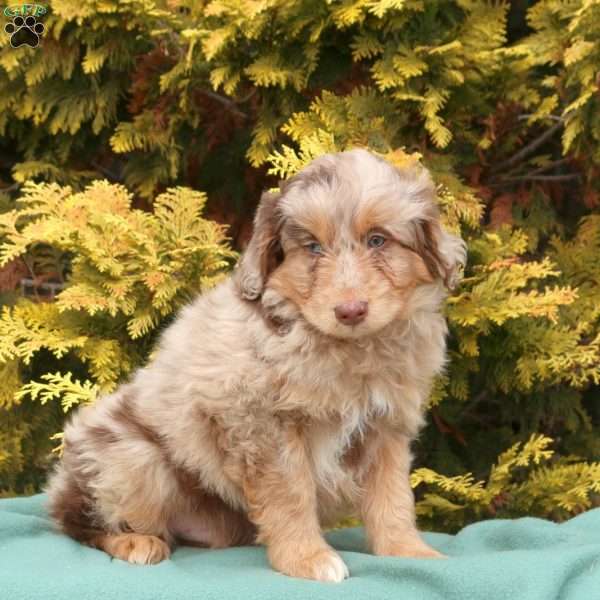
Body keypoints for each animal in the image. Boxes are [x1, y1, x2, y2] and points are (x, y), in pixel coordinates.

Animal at [48, 149, 468, 580]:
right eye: (313, 248)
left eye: (378, 240)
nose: (350, 311)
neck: (344, 347)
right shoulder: (261, 423)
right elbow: (291, 494)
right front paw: (308, 558)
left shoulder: (386, 426)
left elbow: (393, 496)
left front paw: (408, 551)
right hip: (133, 458)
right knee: (75, 520)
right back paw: (136, 542)